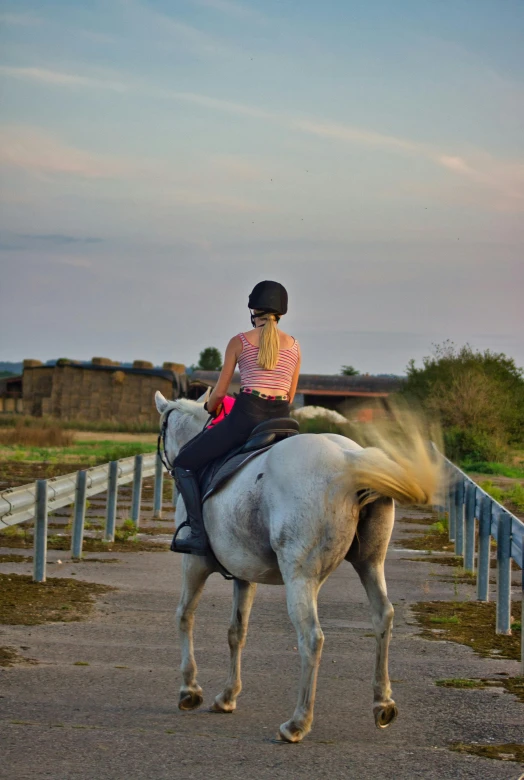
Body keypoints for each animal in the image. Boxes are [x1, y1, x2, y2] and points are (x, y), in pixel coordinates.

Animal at [155, 390, 438, 744]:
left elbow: (184, 616)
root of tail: (349, 460)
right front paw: (227, 696)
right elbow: (236, 632)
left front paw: (190, 690)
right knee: (383, 616)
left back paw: (297, 723)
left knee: (311, 637)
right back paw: (382, 704)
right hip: (370, 563)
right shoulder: (245, 574)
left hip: (300, 577)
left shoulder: (194, 562)